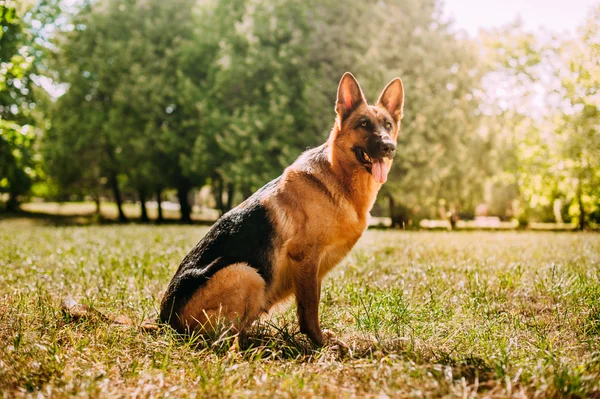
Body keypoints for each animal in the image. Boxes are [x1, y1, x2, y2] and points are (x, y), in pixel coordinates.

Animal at [64, 72, 404, 346]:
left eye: (388, 125)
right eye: (363, 124)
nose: (389, 147)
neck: (337, 177)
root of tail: (163, 323)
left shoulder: (312, 270)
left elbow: (309, 308)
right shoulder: (305, 260)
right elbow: (309, 311)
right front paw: (319, 345)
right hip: (247, 272)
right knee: (223, 339)